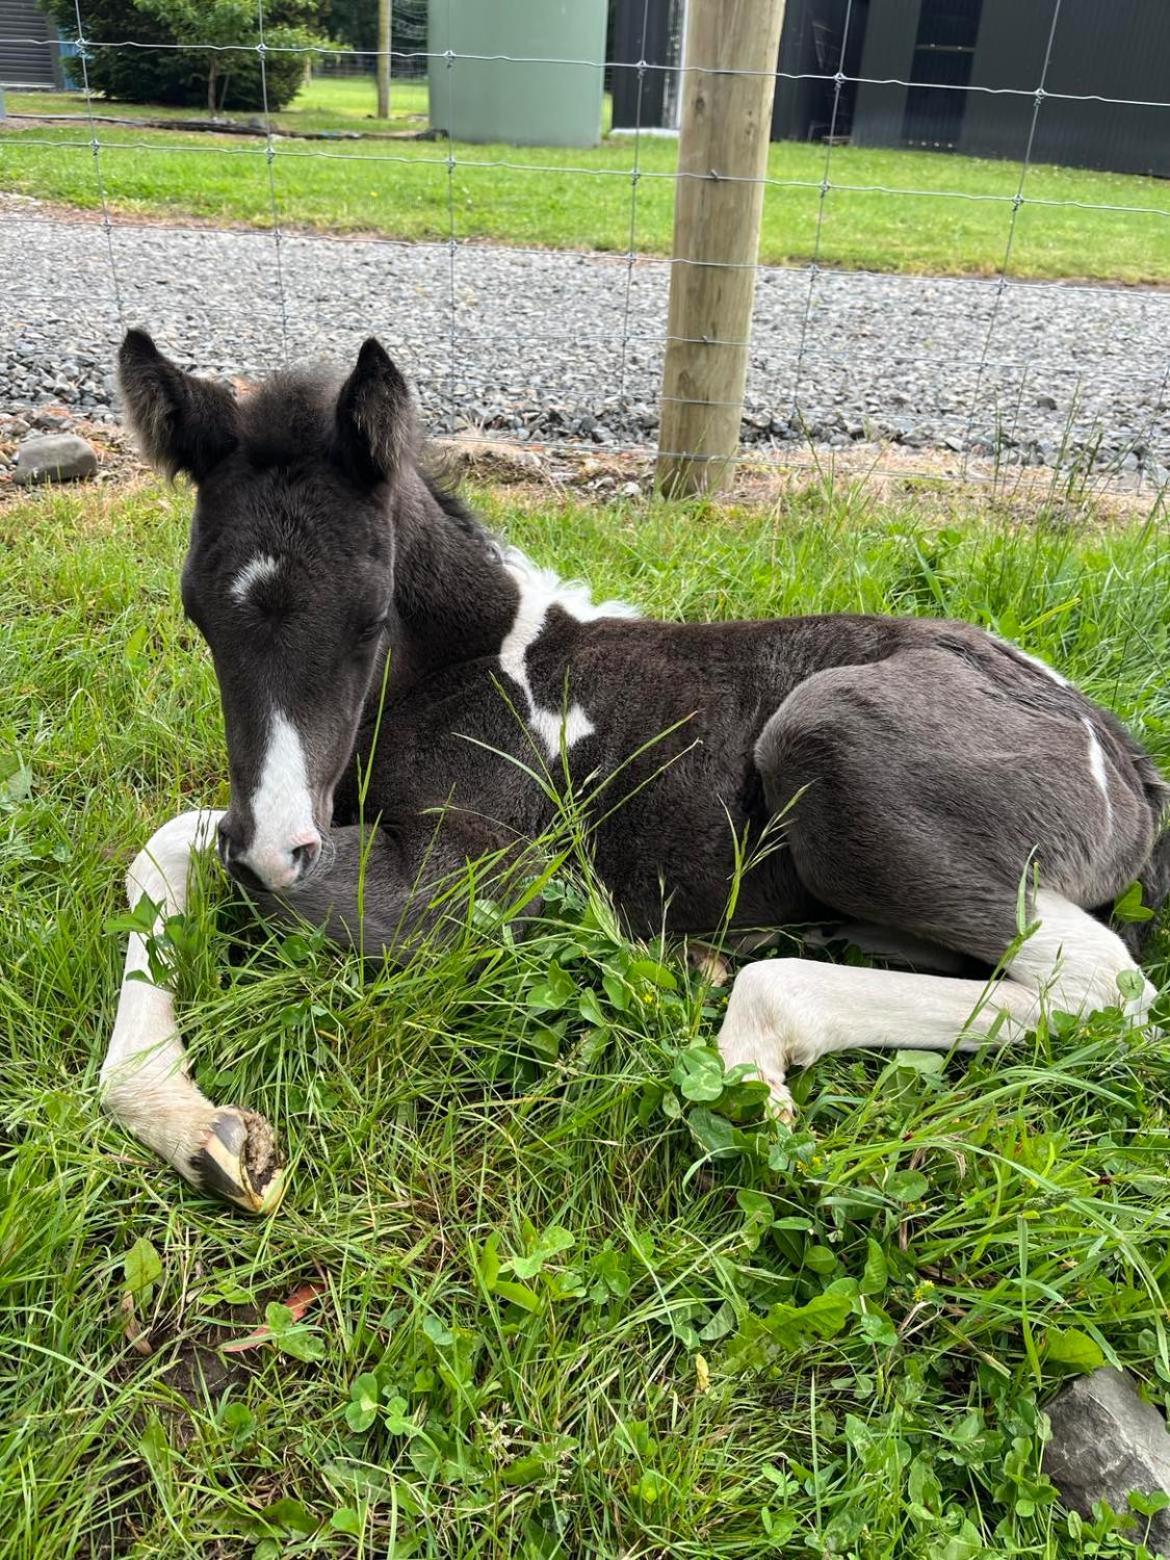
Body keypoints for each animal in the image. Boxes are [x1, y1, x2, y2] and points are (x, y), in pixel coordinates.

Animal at [105, 326, 1166, 1204]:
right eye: (197, 612)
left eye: (370, 613)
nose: (278, 840)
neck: (476, 666)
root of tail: (1123, 755)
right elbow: (175, 845)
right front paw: (190, 1123)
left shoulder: (487, 875)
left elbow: (270, 880)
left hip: (828, 737)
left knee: (1106, 987)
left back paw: (748, 1028)